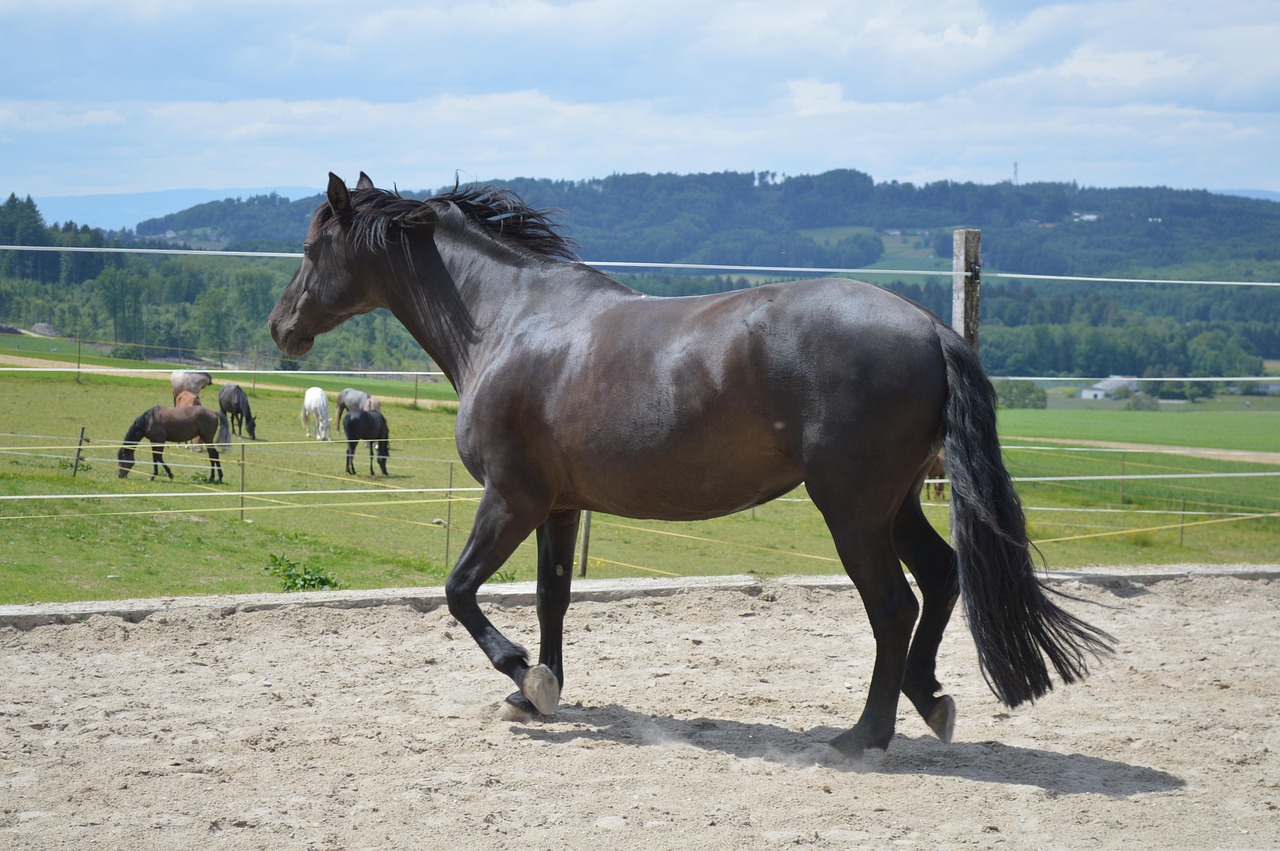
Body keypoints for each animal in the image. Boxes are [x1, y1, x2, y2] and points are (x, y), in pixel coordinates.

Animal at [268, 172, 1113, 760]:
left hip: (852, 508)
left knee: (895, 605)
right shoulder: (560, 505)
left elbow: (459, 590)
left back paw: (864, 734)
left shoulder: (512, 497)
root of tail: (933, 328)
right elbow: (552, 598)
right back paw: (928, 698)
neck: (509, 320)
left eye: (312, 249)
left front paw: (524, 677)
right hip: (895, 500)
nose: (282, 328)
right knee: (940, 577)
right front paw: (539, 692)